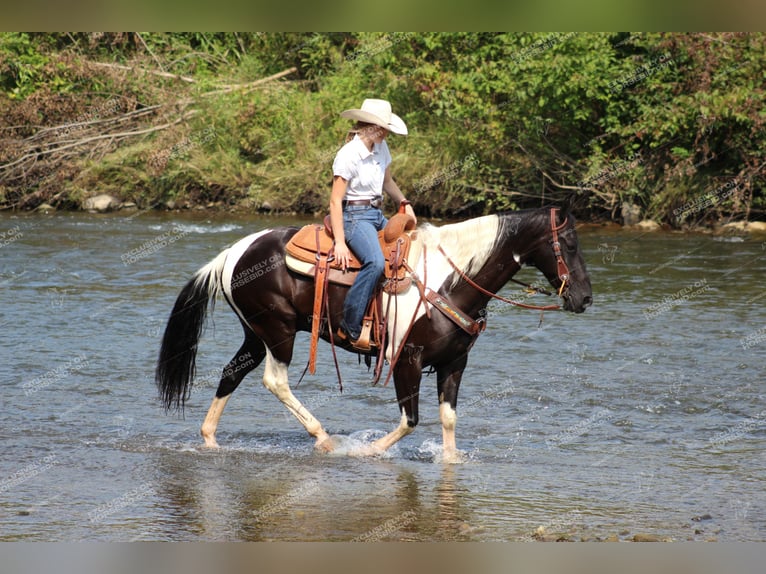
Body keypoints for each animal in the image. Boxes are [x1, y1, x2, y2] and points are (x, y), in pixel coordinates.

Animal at [156, 200, 592, 462]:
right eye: (569, 244)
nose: (585, 299)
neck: (450, 281)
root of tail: (232, 253)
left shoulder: (455, 362)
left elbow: (448, 419)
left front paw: (451, 462)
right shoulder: (407, 359)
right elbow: (409, 420)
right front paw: (367, 452)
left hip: (256, 333)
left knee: (232, 373)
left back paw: (210, 439)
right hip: (278, 331)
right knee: (274, 380)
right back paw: (324, 438)